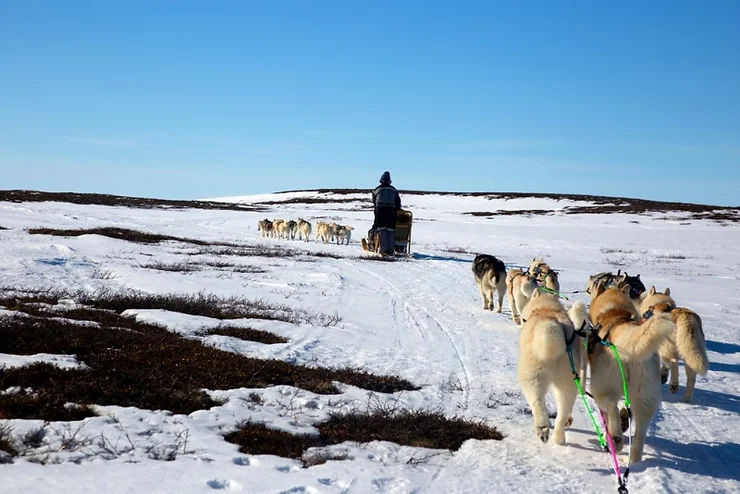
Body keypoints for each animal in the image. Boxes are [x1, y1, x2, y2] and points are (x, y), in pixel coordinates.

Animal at [516, 292, 588, 446]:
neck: (545, 308)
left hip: (531, 377)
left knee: (537, 402)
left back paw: (542, 428)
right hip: (568, 382)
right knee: (563, 412)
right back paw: (559, 438)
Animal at [588, 282, 676, 464]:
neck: (615, 313)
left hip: (601, 387)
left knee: (611, 407)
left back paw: (615, 439)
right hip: (645, 400)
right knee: (639, 435)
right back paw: (634, 461)